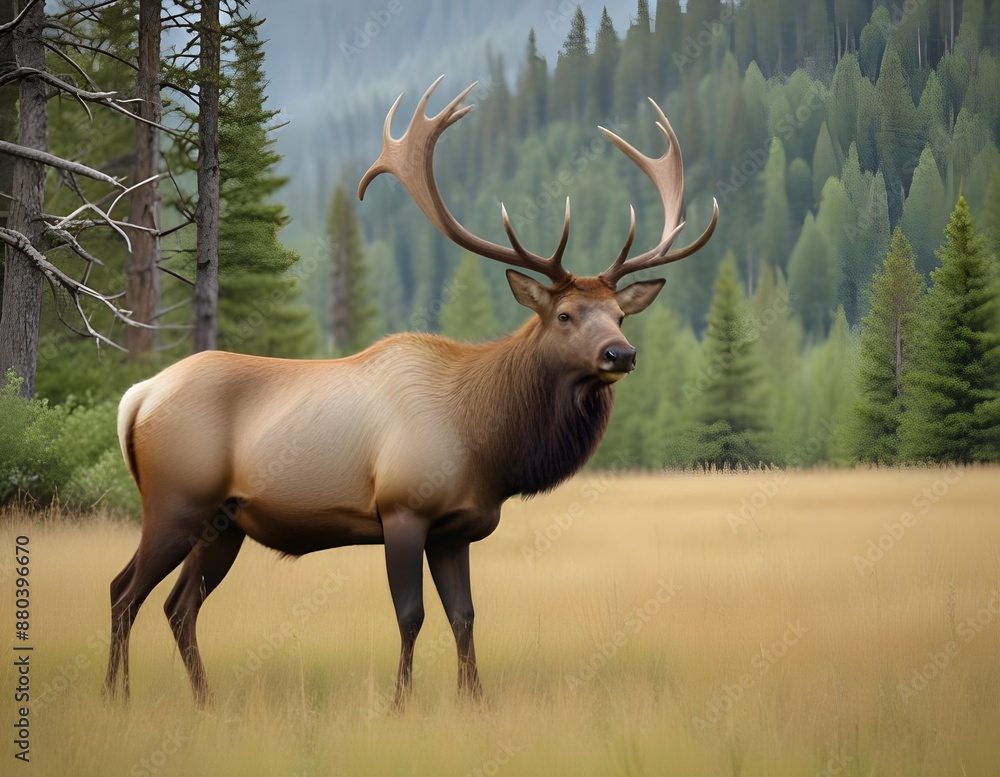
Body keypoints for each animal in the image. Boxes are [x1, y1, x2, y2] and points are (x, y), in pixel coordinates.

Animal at [103, 77, 717, 710]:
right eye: (566, 314)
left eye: (621, 314)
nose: (622, 354)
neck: (487, 443)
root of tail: (139, 396)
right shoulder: (401, 509)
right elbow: (411, 615)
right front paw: (400, 703)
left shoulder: (457, 529)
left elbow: (465, 616)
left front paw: (474, 701)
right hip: (175, 502)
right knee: (124, 590)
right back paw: (115, 696)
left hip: (223, 523)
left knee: (178, 605)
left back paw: (204, 699)